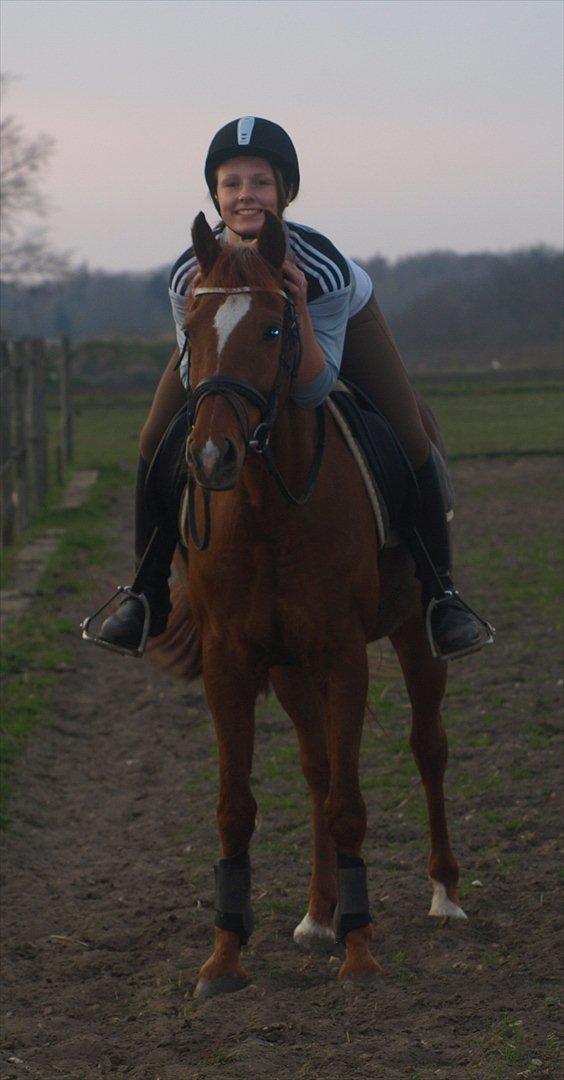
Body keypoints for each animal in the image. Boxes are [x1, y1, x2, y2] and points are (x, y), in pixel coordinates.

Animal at [149, 212, 464, 1002]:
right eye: (190, 326)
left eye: (272, 329)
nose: (212, 459)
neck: (268, 510)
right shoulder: (234, 662)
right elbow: (239, 809)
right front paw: (224, 958)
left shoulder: (343, 654)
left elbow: (352, 805)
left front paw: (363, 955)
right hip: (290, 670)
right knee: (319, 769)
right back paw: (321, 915)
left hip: (413, 634)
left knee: (428, 747)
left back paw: (444, 893)